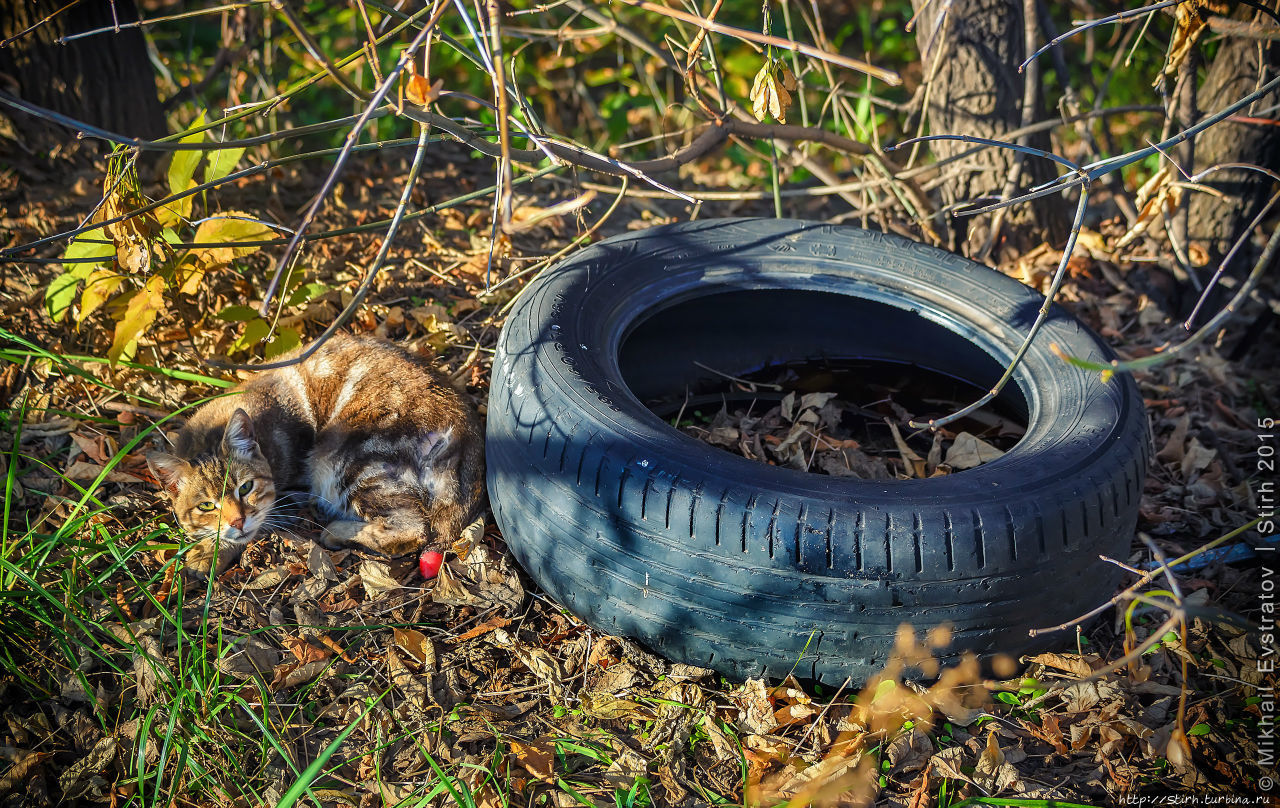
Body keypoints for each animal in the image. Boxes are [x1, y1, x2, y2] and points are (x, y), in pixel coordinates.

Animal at [146, 332, 483, 576]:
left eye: (246, 487)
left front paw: (208, 553)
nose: (237, 521)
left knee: (412, 529)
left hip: (347, 461)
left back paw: (337, 531)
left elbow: (252, 527)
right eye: (205, 505)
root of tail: (466, 436)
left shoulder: (283, 496)